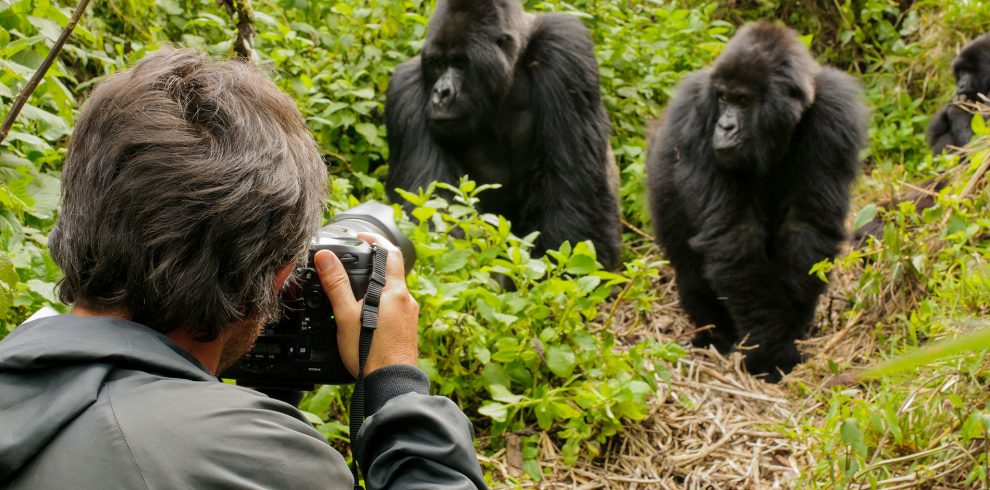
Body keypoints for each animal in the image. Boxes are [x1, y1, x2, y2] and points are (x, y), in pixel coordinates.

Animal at [386, 0, 620, 270]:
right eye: (436, 63)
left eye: (459, 63)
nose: (440, 93)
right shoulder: (406, 88)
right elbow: (432, 207)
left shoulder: (565, 49)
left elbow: (573, 191)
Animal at [644, 22, 868, 382]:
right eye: (723, 98)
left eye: (743, 101)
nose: (724, 126)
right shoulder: (697, 114)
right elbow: (734, 234)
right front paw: (769, 351)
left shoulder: (835, 114)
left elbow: (806, 226)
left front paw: (789, 334)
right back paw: (713, 334)